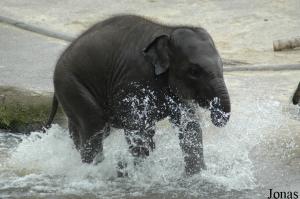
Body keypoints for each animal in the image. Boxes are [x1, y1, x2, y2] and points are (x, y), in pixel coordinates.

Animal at [45, 14, 231, 176]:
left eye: (223, 66)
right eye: (194, 71)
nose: (217, 116)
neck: (168, 30)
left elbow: (189, 124)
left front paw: (195, 175)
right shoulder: (132, 81)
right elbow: (138, 129)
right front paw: (137, 172)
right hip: (71, 83)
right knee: (94, 126)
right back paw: (92, 170)